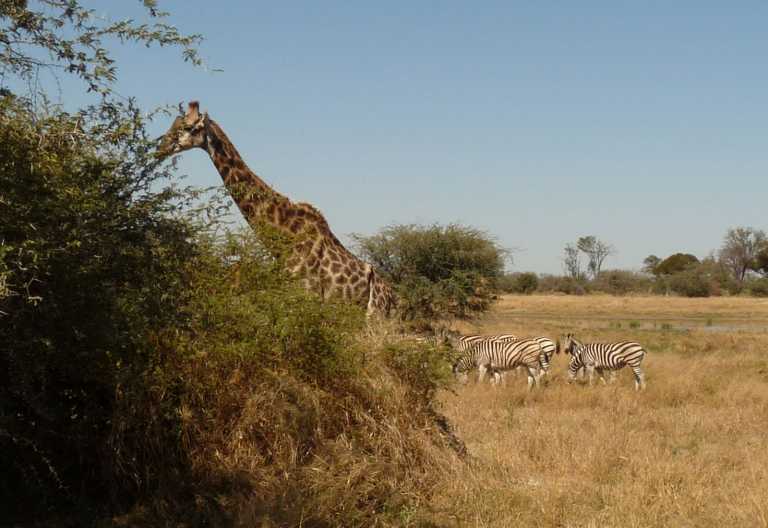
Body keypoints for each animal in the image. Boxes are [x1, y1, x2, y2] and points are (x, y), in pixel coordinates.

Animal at [156, 101, 395, 317]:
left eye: (190, 127)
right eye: (173, 123)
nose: (160, 148)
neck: (285, 235)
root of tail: (392, 296)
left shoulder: (309, 296)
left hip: (375, 315)